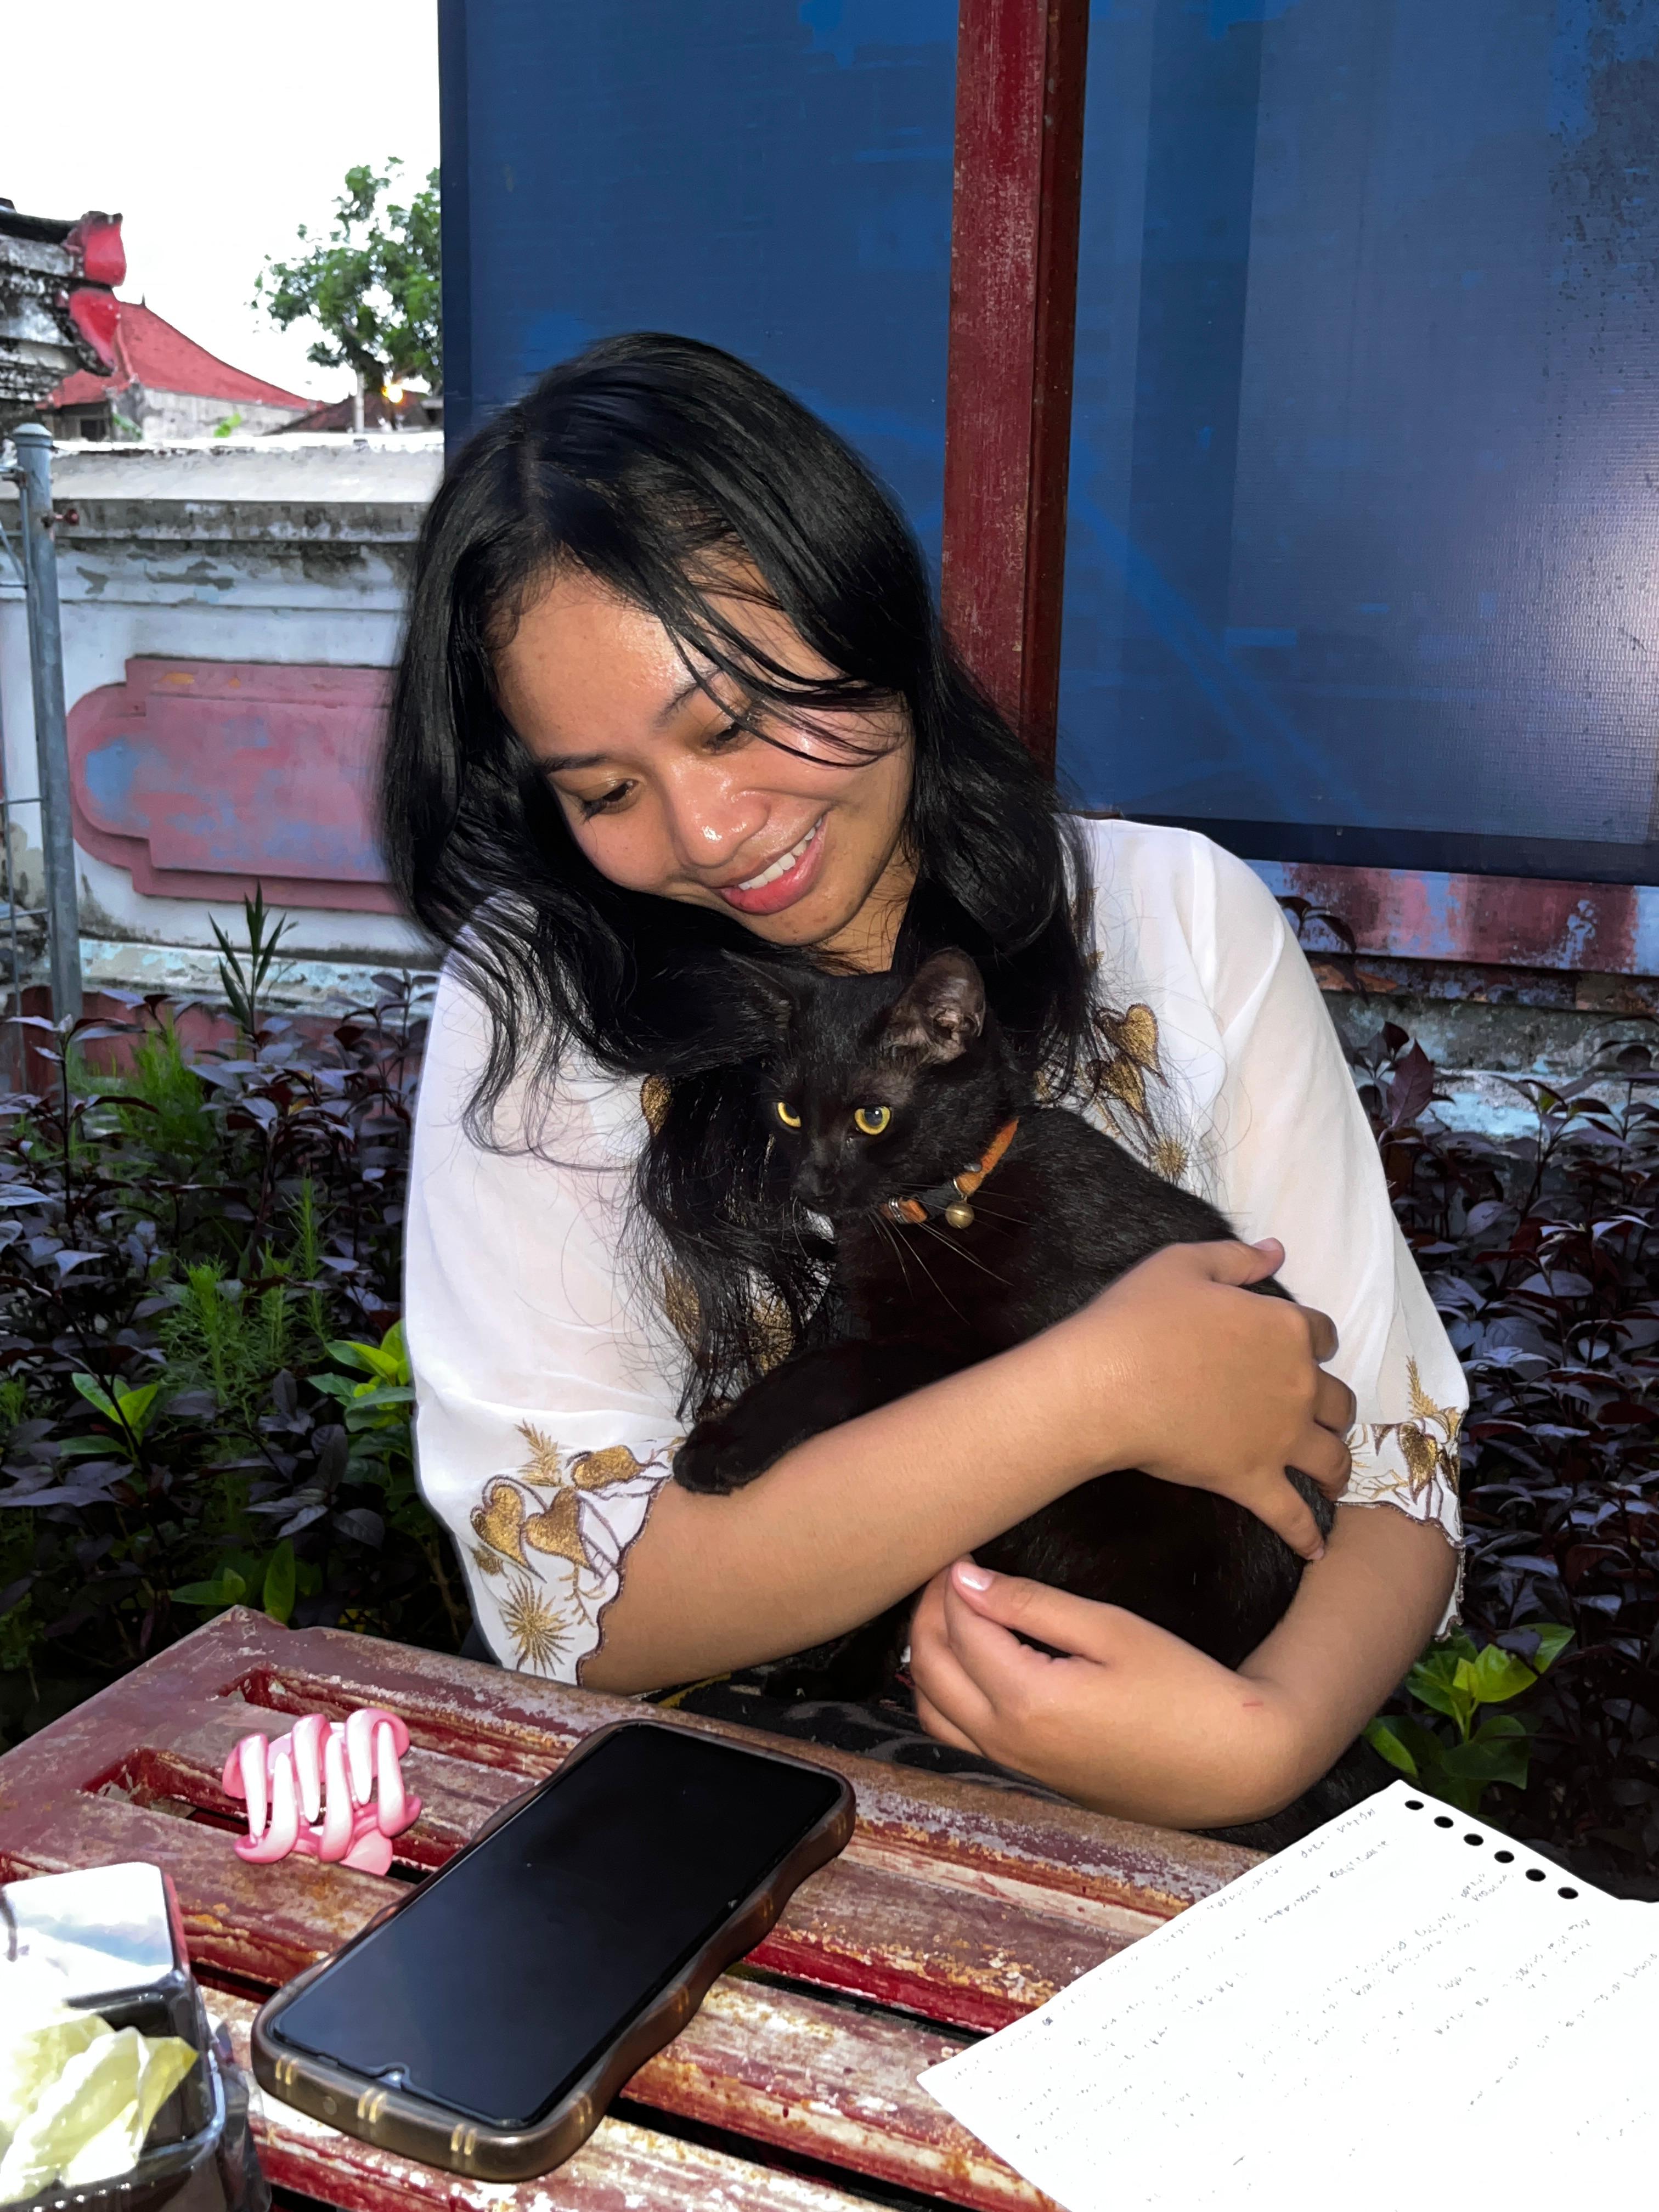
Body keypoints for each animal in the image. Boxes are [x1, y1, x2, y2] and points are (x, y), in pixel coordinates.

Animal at [673, 947, 1336, 1685]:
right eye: (789, 1112)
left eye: (872, 1117)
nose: (812, 1186)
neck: (945, 1203)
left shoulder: (972, 1354)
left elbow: (837, 1364)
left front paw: (724, 1443)